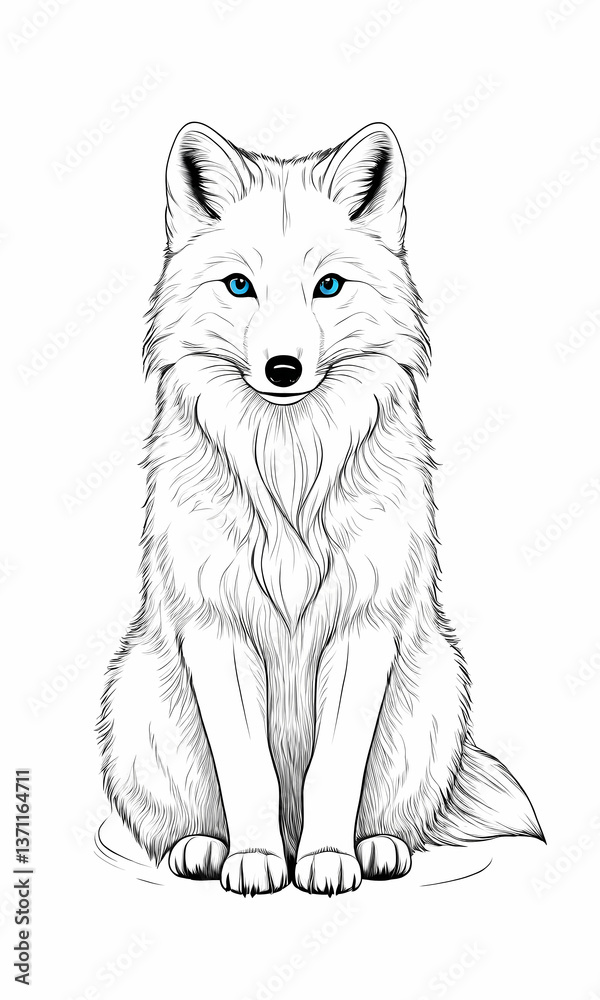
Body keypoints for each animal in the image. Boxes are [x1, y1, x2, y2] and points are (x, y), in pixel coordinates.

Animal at [97, 121, 543, 895]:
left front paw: (328, 862)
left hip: (434, 691)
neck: (290, 470)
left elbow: (336, 767)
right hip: (139, 701)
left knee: (398, 817)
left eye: (327, 286)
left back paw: (377, 848)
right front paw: (253, 863)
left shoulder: (365, 628)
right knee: (175, 822)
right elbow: (246, 770)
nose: (284, 369)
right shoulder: (216, 630)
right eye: (240, 286)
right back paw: (202, 848)